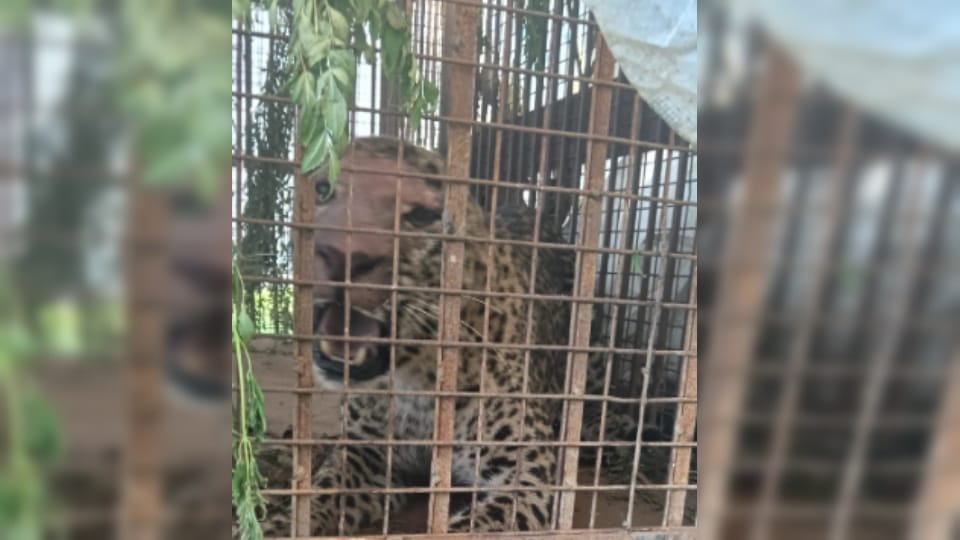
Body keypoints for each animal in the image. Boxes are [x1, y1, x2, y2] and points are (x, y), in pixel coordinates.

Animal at [256, 136, 645, 536]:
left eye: (421, 216)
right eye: (323, 190)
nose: (341, 255)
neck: (416, 381)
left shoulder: (526, 473)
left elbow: (477, 525)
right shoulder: (366, 452)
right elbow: (316, 497)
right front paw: (272, 525)